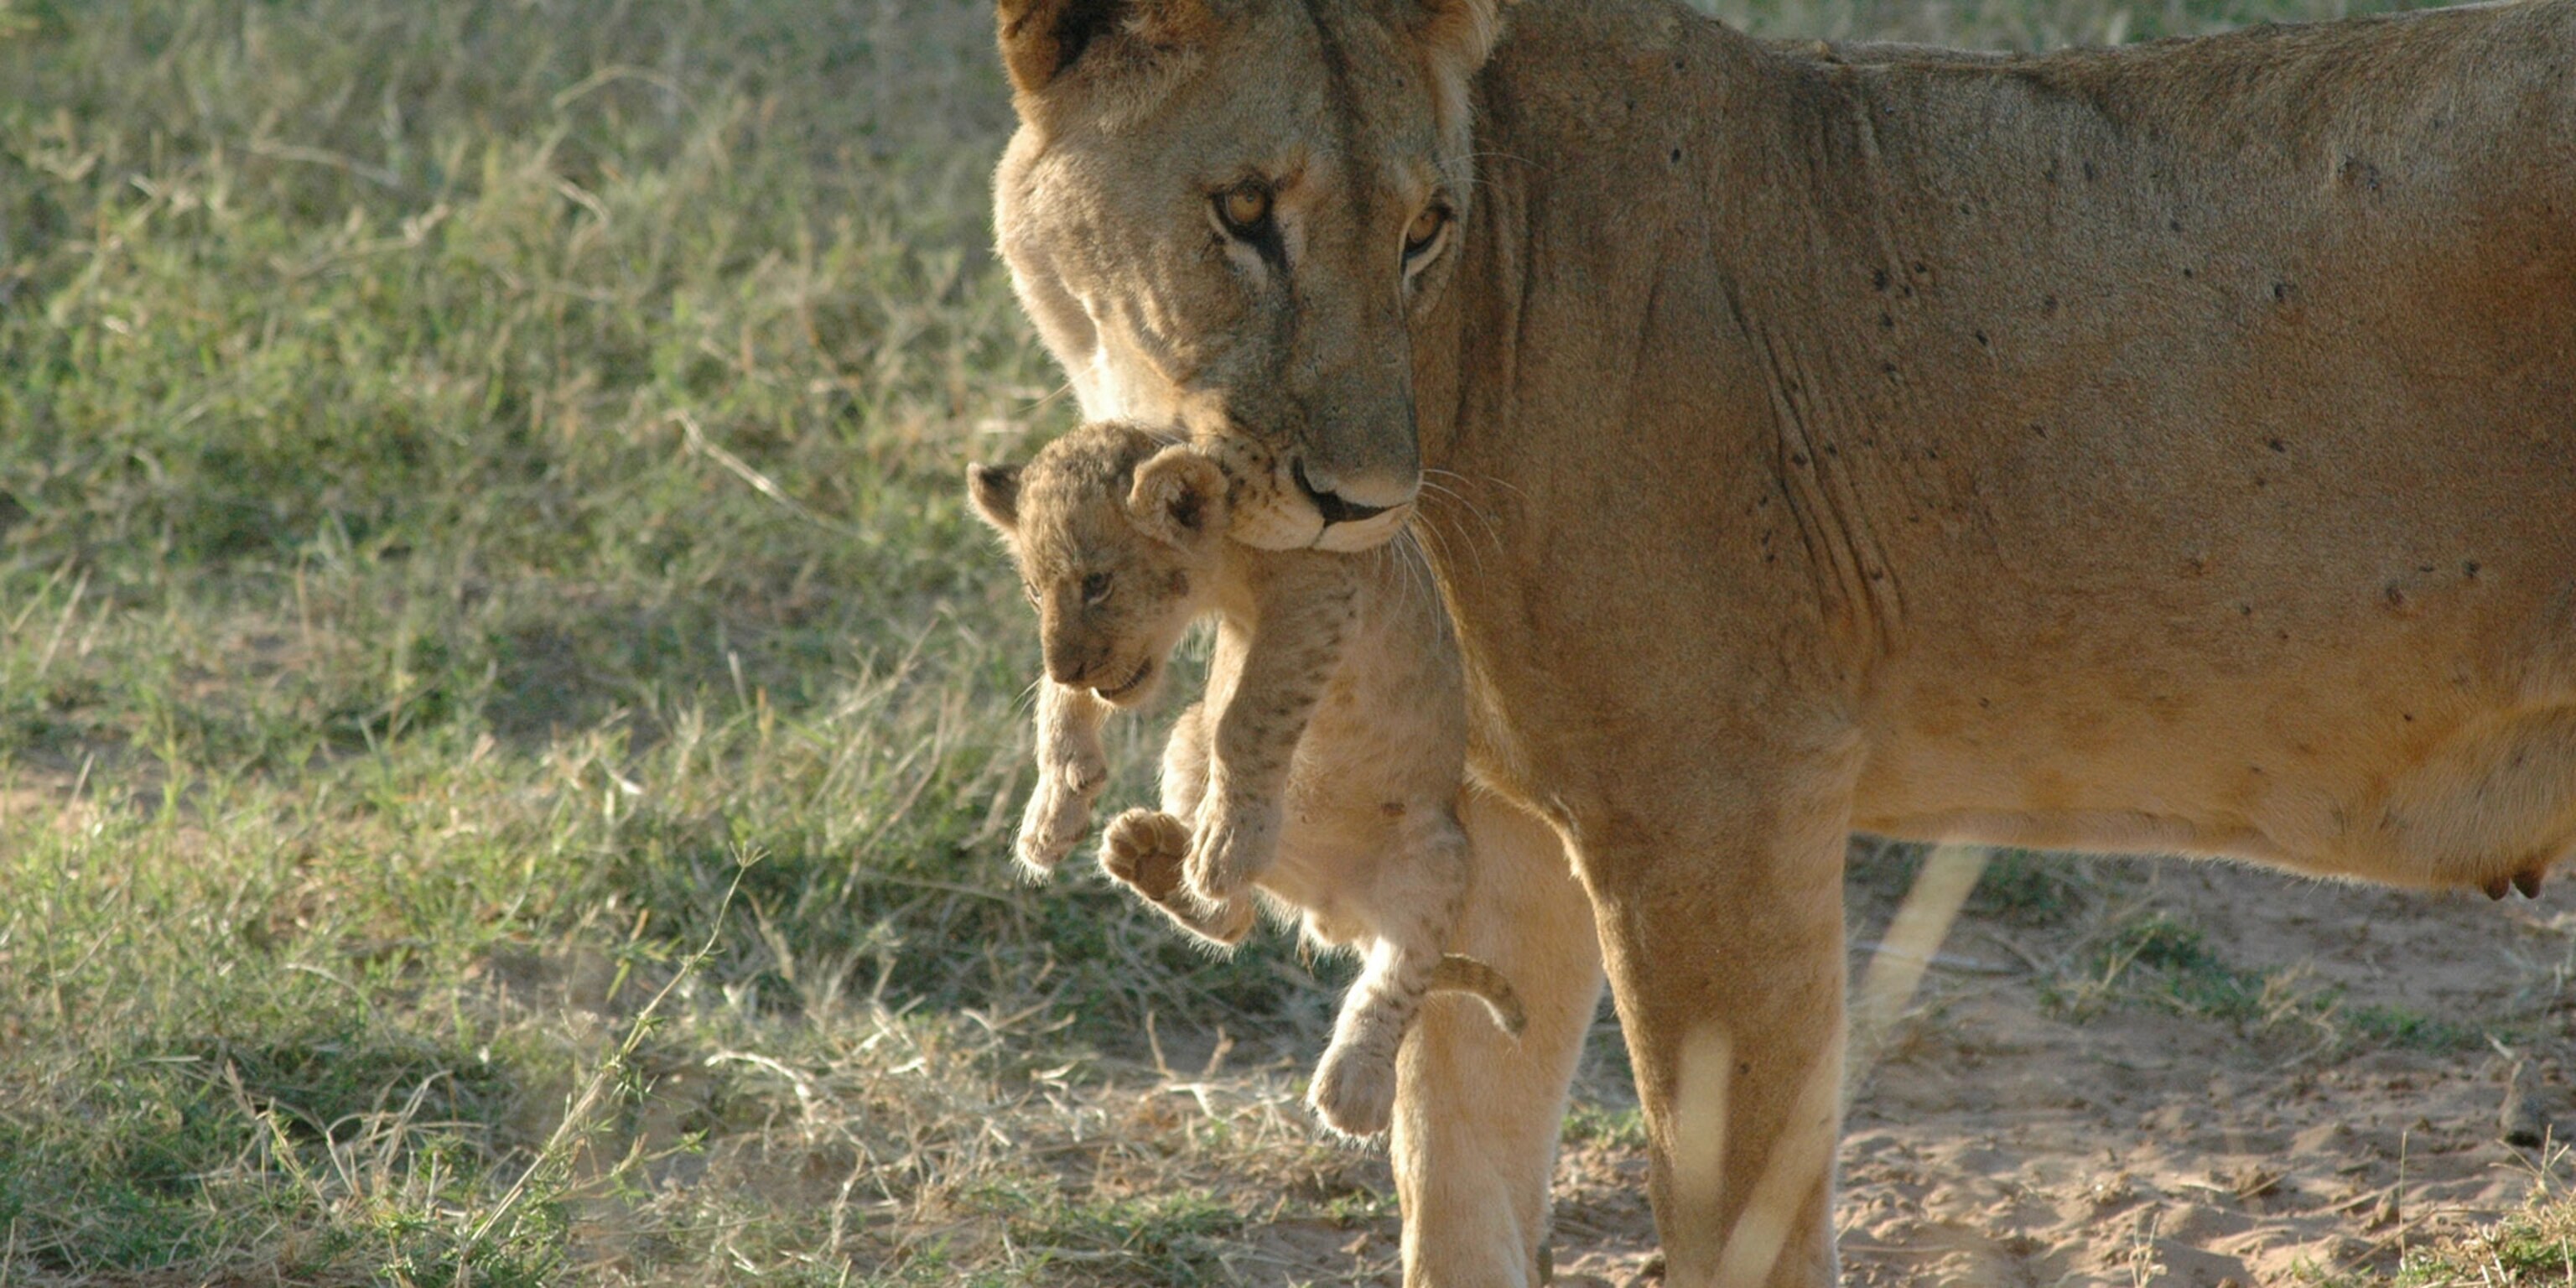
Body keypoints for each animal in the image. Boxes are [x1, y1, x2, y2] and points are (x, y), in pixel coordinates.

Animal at [967, 420, 1533, 1135]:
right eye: (1035, 594)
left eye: (1097, 583)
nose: (1067, 665)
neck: (1229, 573)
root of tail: (1328, 909)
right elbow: (1062, 705)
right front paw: (1053, 813)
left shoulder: (1317, 597)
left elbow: (1248, 716)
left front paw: (1231, 844)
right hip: (1185, 740)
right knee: (1233, 922)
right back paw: (1155, 857)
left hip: (1435, 853)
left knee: (1397, 971)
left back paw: (1354, 1085)